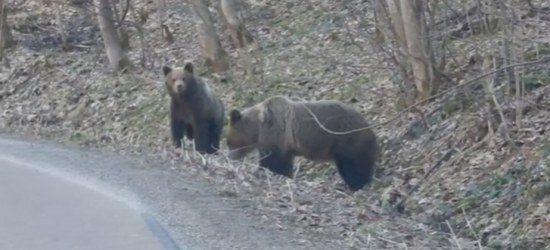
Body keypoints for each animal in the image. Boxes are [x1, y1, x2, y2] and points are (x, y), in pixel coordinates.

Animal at [225, 94, 380, 190]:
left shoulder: (276, 132)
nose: (230, 156)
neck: (258, 126)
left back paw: (357, 184)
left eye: (229, 142)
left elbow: (273, 161)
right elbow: (284, 162)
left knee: (354, 167)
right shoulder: (285, 144)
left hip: (347, 141)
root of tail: (370, 129)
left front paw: (265, 171)